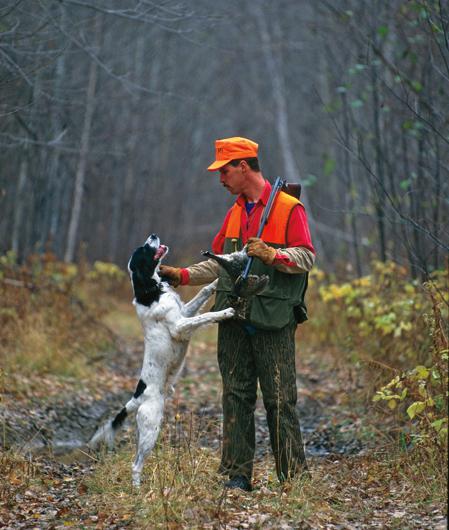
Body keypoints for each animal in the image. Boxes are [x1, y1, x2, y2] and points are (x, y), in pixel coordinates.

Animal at [88, 233, 234, 484]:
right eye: (145, 249)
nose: (153, 235)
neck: (151, 289)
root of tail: (135, 399)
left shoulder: (184, 312)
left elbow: (202, 293)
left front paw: (217, 280)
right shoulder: (180, 326)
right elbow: (205, 316)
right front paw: (225, 313)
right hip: (151, 427)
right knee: (135, 465)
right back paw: (138, 489)